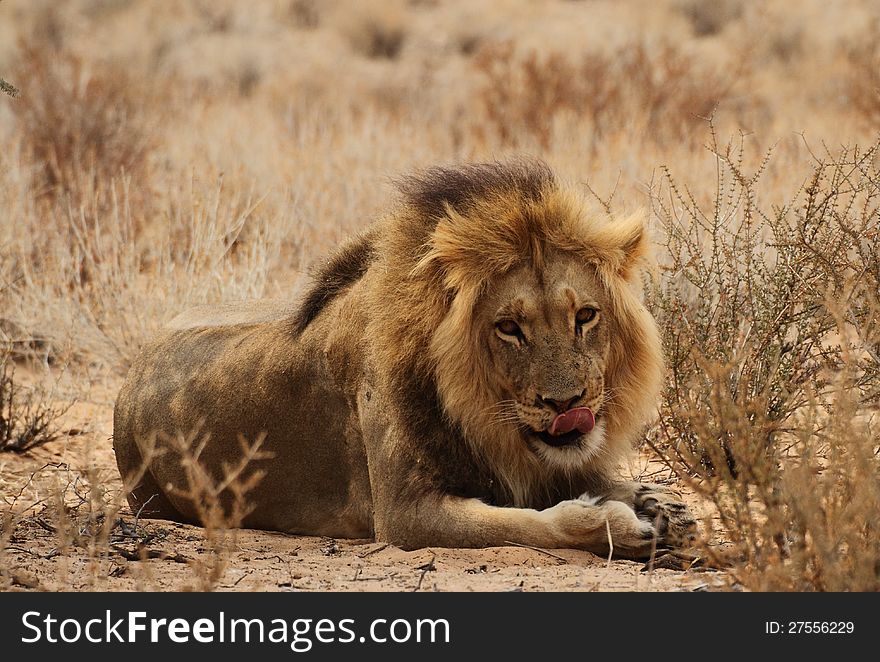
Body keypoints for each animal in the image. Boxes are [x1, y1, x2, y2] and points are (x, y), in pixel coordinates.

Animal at [113, 161, 696, 560]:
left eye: (586, 316)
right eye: (509, 328)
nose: (566, 403)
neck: (481, 418)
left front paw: (663, 505)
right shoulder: (405, 515)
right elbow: (526, 524)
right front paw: (625, 525)